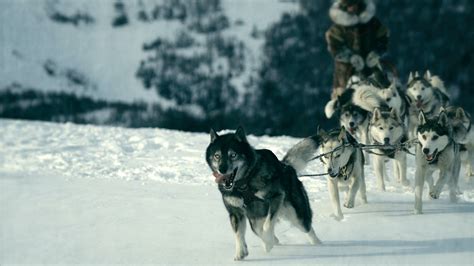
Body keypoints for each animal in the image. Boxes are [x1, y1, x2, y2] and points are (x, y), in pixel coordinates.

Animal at [206, 127, 320, 260]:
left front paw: (268, 243)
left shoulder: (276, 198)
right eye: (217, 156)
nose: (222, 169)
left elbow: (267, 226)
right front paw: (240, 252)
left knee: (307, 228)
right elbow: (239, 234)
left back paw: (318, 244)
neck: (244, 183)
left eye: (233, 155)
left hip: (295, 215)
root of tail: (286, 166)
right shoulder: (235, 213)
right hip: (255, 217)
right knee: (258, 229)